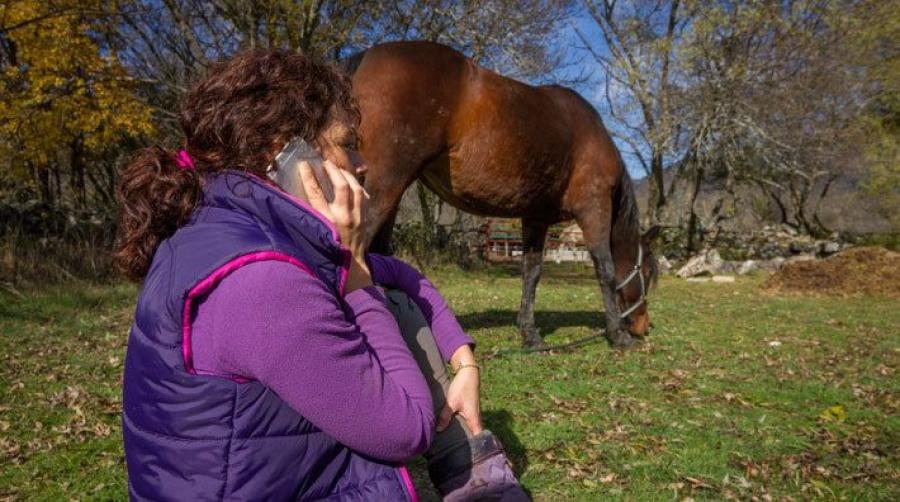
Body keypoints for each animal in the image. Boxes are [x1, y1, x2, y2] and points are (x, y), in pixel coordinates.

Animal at [348, 40, 656, 350]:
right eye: (649, 273)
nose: (642, 326)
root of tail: (368, 56)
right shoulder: (594, 207)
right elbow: (605, 268)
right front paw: (617, 334)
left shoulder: (536, 218)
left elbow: (531, 273)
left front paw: (530, 334)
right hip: (385, 184)